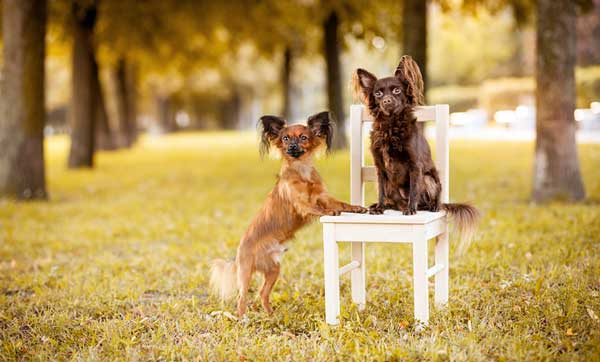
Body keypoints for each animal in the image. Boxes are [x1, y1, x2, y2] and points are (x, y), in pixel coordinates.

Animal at [211, 111, 366, 316]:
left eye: (303, 137)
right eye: (285, 138)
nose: (291, 146)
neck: (302, 171)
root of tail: (238, 253)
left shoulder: (323, 196)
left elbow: (341, 203)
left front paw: (356, 207)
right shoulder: (302, 204)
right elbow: (318, 209)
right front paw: (330, 212)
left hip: (274, 270)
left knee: (262, 293)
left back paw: (270, 315)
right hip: (245, 274)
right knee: (241, 299)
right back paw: (243, 318)